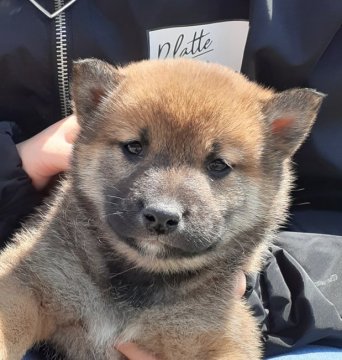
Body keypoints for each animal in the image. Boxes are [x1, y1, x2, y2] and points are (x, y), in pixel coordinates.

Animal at [0, 57, 324, 358]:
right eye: (134, 147)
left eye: (218, 165)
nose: (161, 216)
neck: (139, 281)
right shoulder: (29, 282)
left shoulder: (222, 337)